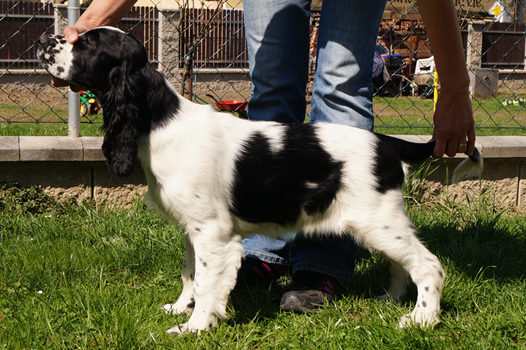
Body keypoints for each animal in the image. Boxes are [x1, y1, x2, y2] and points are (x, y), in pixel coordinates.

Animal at [39, 27, 486, 334]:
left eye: (88, 44)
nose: (45, 40)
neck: (160, 119)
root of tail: (387, 142)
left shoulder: (213, 233)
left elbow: (207, 281)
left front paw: (193, 327)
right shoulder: (192, 229)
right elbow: (190, 274)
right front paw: (180, 308)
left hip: (378, 220)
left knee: (429, 265)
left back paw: (421, 319)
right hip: (377, 224)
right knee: (401, 265)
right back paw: (391, 300)